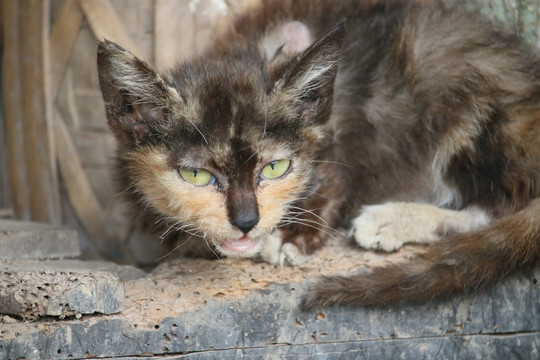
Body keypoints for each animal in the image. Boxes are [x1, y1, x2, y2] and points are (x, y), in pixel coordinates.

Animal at [97, 0, 540, 308]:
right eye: (197, 176)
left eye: (276, 167)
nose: (247, 222)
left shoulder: (336, 131)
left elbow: (333, 178)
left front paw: (292, 234)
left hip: (463, 89)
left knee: (505, 201)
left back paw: (390, 219)